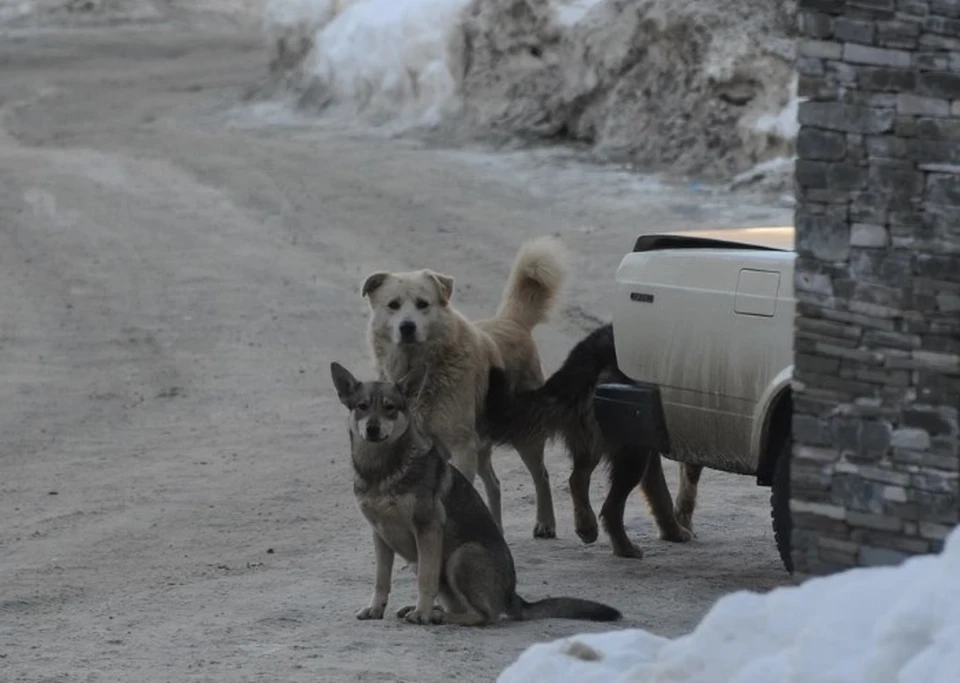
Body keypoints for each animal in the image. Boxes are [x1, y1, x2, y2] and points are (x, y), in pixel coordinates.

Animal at [330, 366, 624, 628]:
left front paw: (421, 614)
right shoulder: (380, 535)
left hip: (460, 557)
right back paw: (429, 610)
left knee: (485, 616)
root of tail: (512, 596)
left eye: (390, 407)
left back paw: (436, 615)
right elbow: (381, 579)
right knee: (462, 606)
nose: (372, 428)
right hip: (428, 562)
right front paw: (375, 609)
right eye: (362, 406)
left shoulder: (427, 530)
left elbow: (425, 580)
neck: (381, 471)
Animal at [362, 238, 568, 536]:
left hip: (524, 435)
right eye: (393, 305)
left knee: (541, 475)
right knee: (494, 484)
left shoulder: (461, 448)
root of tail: (511, 322)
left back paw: (545, 523)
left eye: (423, 304)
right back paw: (497, 530)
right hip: (481, 442)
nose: (407, 327)